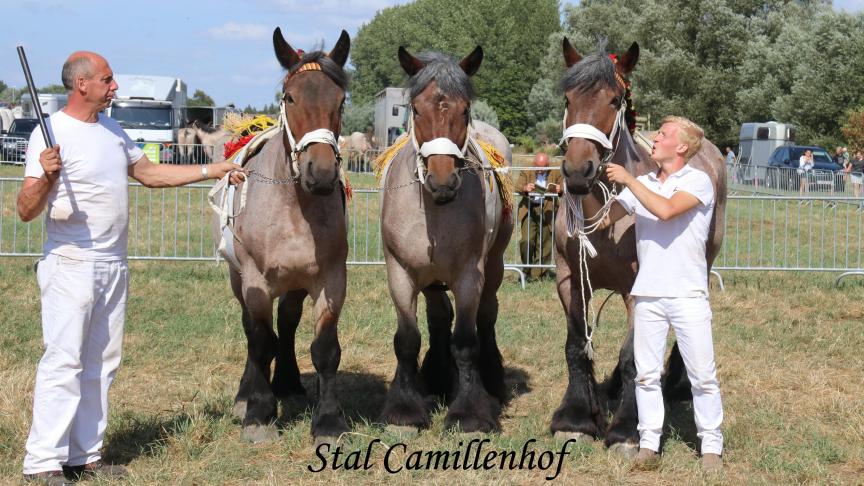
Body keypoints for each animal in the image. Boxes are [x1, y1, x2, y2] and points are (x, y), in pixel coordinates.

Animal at [223, 26, 352, 444]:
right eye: (290, 97)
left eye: (341, 100)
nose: (321, 173)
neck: (295, 208)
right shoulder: (255, 281)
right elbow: (260, 340)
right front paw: (259, 413)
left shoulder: (331, 279)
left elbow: (325, 348)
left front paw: (328, 420)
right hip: (238, 278)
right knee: (252, 329)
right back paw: (247, 395)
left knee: (288, 322)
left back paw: (289, 384)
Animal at [378, 46, 512, 432]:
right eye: (416, 110)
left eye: (464, 110)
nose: (443, 180)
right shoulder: (401, 273)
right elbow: (407, 339)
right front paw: (404, 407)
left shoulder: (470, 274)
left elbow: (466, 341)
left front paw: (469, 411)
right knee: (439, 316)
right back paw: (436, 376)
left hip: (493, 266)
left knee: (487, 314)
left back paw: (491, 379)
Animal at [552, 38, 724, 456]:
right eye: (567, 98)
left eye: (615, 100)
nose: (578, 171)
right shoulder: (570, 279)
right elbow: (577, 344)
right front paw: (576, 418)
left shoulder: (637, 289)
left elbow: (635, 356)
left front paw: (627, 429)